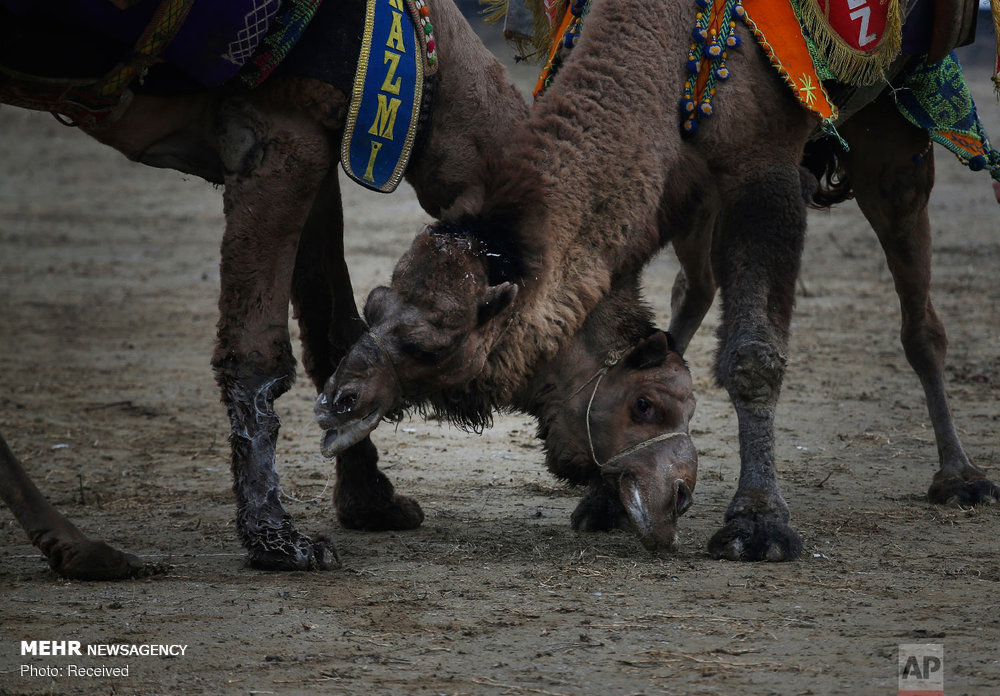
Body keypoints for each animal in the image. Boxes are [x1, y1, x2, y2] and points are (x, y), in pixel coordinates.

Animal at [320, 0, 1000, 560]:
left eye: (431, 343)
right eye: (373, 305)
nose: (337, 402)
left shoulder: (766, 169)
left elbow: (753, 355)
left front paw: (758, 525)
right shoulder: (665, 180)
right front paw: (602, 498)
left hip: (893, 131)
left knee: (920, 314)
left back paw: (961, 477)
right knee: (693, 287)